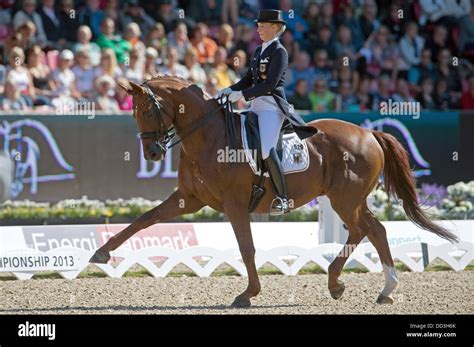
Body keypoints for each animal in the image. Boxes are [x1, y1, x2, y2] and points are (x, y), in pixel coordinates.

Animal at [89, 76, 456, 308]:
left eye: (147, 110)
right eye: (133, 111)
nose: (152, 153)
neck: (207, 136)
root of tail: (369, 133)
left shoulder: (235, 204)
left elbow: (247, 248)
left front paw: (248, 294)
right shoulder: (188, 200)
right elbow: (144, 219)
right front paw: (102, 253)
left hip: (345, 199)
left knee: (363, 229)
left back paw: (338, 282)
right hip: (350, 199)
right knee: (375, 229)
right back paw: (382, 289)